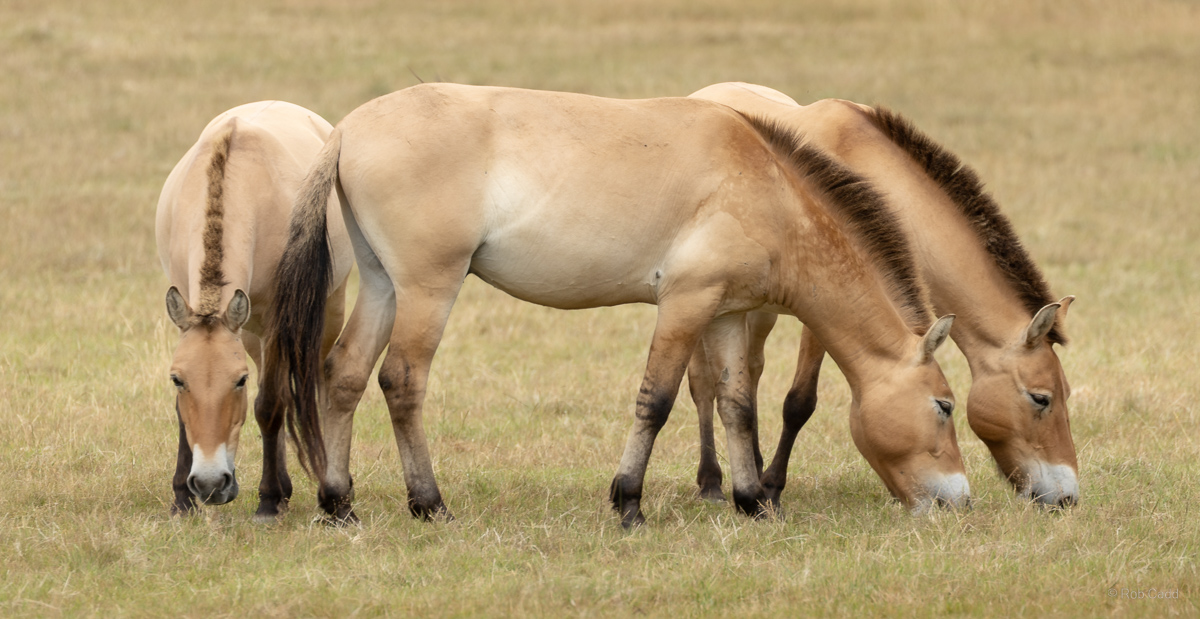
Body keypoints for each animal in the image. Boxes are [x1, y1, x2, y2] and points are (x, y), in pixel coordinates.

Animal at [155, 101, 354, 521]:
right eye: (178, 380)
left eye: (239, 381)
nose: (210, 484)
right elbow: (184, 415)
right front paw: (182, 500)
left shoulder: (278, 320)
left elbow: (269, 406)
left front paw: (267, 500)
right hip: (250, 331)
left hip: (326, 309)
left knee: (318, 385)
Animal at [266, 83, 969, 528]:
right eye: (943, 406)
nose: (959, 500)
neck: (765, 186)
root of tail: (349, 129)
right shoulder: (686, 304)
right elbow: (656, 400)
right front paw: (629, 502)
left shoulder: (727, 314)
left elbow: (738, 405)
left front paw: (751, 501)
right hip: (428, 288)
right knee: (401, 381)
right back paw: (429, 503)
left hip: (384, 285)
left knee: (344, 375)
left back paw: (339, 504)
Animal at [687, 82, 1078, 508]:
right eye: (1041, 398)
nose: (1067, 497)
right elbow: (799, 403)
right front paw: (772, 489)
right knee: (702, 382)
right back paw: (711, 482)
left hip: (759, 311)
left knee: (752, 371)